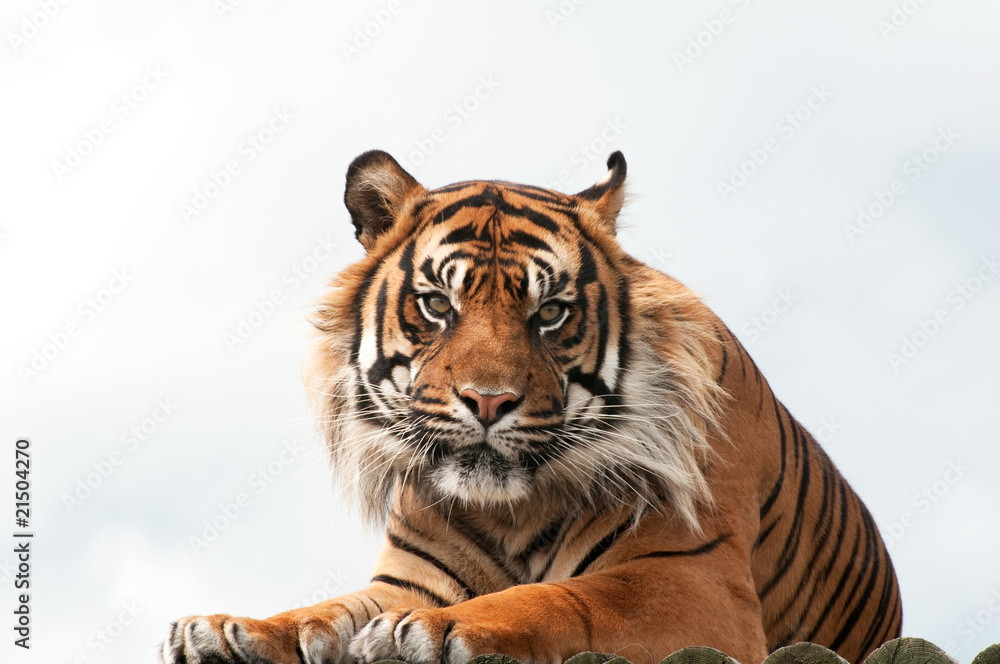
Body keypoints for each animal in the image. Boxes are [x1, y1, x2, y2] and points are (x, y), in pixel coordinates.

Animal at [161, 150, 902, 664]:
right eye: (438, 304)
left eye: (550, 313)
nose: (488, 402)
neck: (508, 510)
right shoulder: (406, 579)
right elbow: (325, 610)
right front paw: (228, 630)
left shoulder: (692, 580)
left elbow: (555, 598)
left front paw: (427, 632)